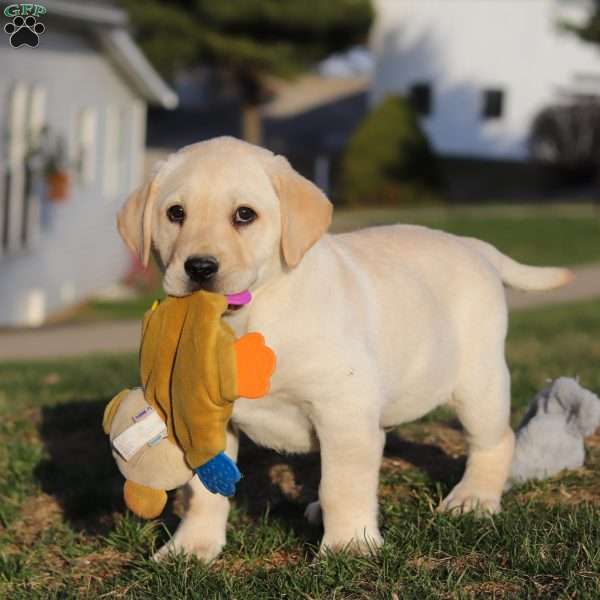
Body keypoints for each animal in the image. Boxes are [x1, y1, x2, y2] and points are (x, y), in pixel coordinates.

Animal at [117, 137, 572, 564]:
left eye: (244, 215)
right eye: (175, 214)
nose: (199, 268)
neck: (251, 316)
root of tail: (472, 245)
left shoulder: (343, 409)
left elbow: (343, 484)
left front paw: (349, 545)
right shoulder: (202, 417)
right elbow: (201, 492)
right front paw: (191, 547)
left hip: (478, 381)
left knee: (494, 441)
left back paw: (474, 498)